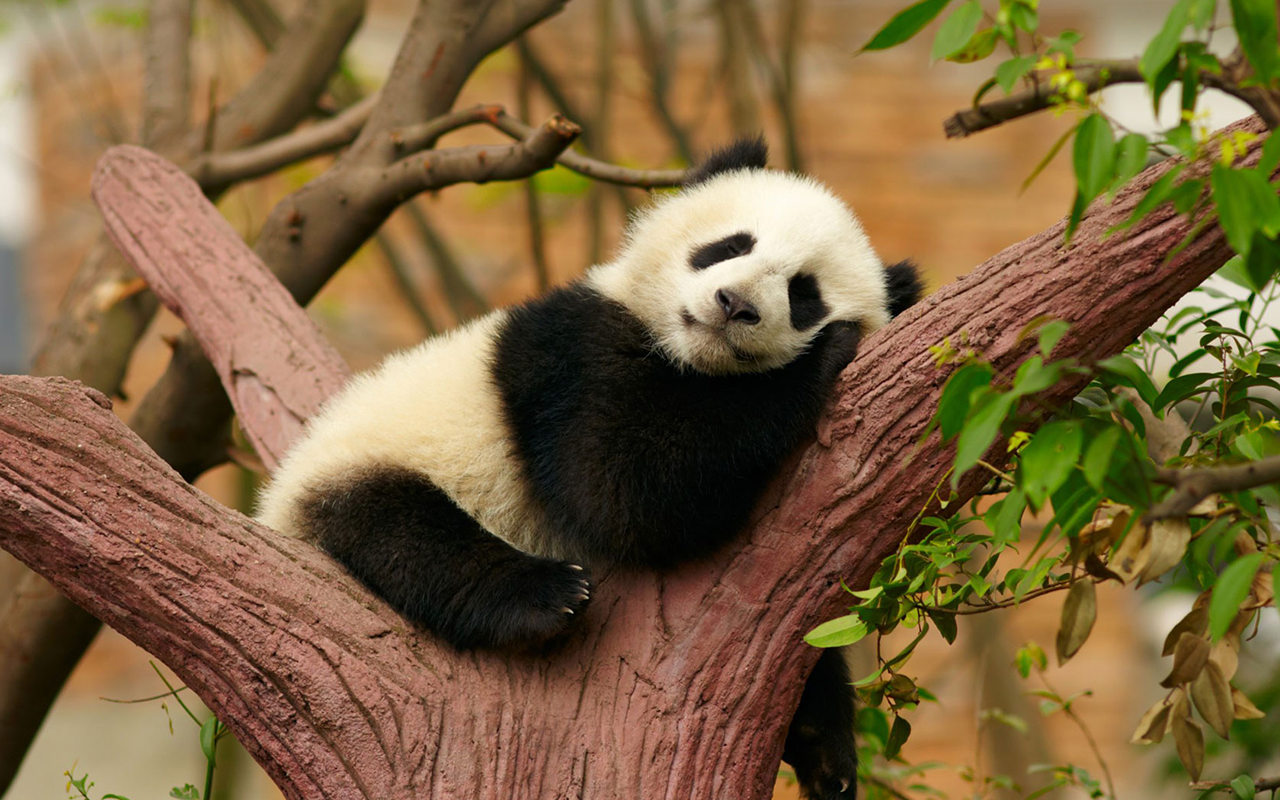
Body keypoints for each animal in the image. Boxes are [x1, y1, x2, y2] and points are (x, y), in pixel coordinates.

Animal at [257, 138, 921, 800]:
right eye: (732, 246)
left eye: (804, 293)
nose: (734, 305)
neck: (691, 359)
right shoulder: (571, 354)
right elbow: (621, 488)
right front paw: (823, 356)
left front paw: (825, 747)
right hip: (366, 462)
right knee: (403, 532)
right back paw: (544, 595)